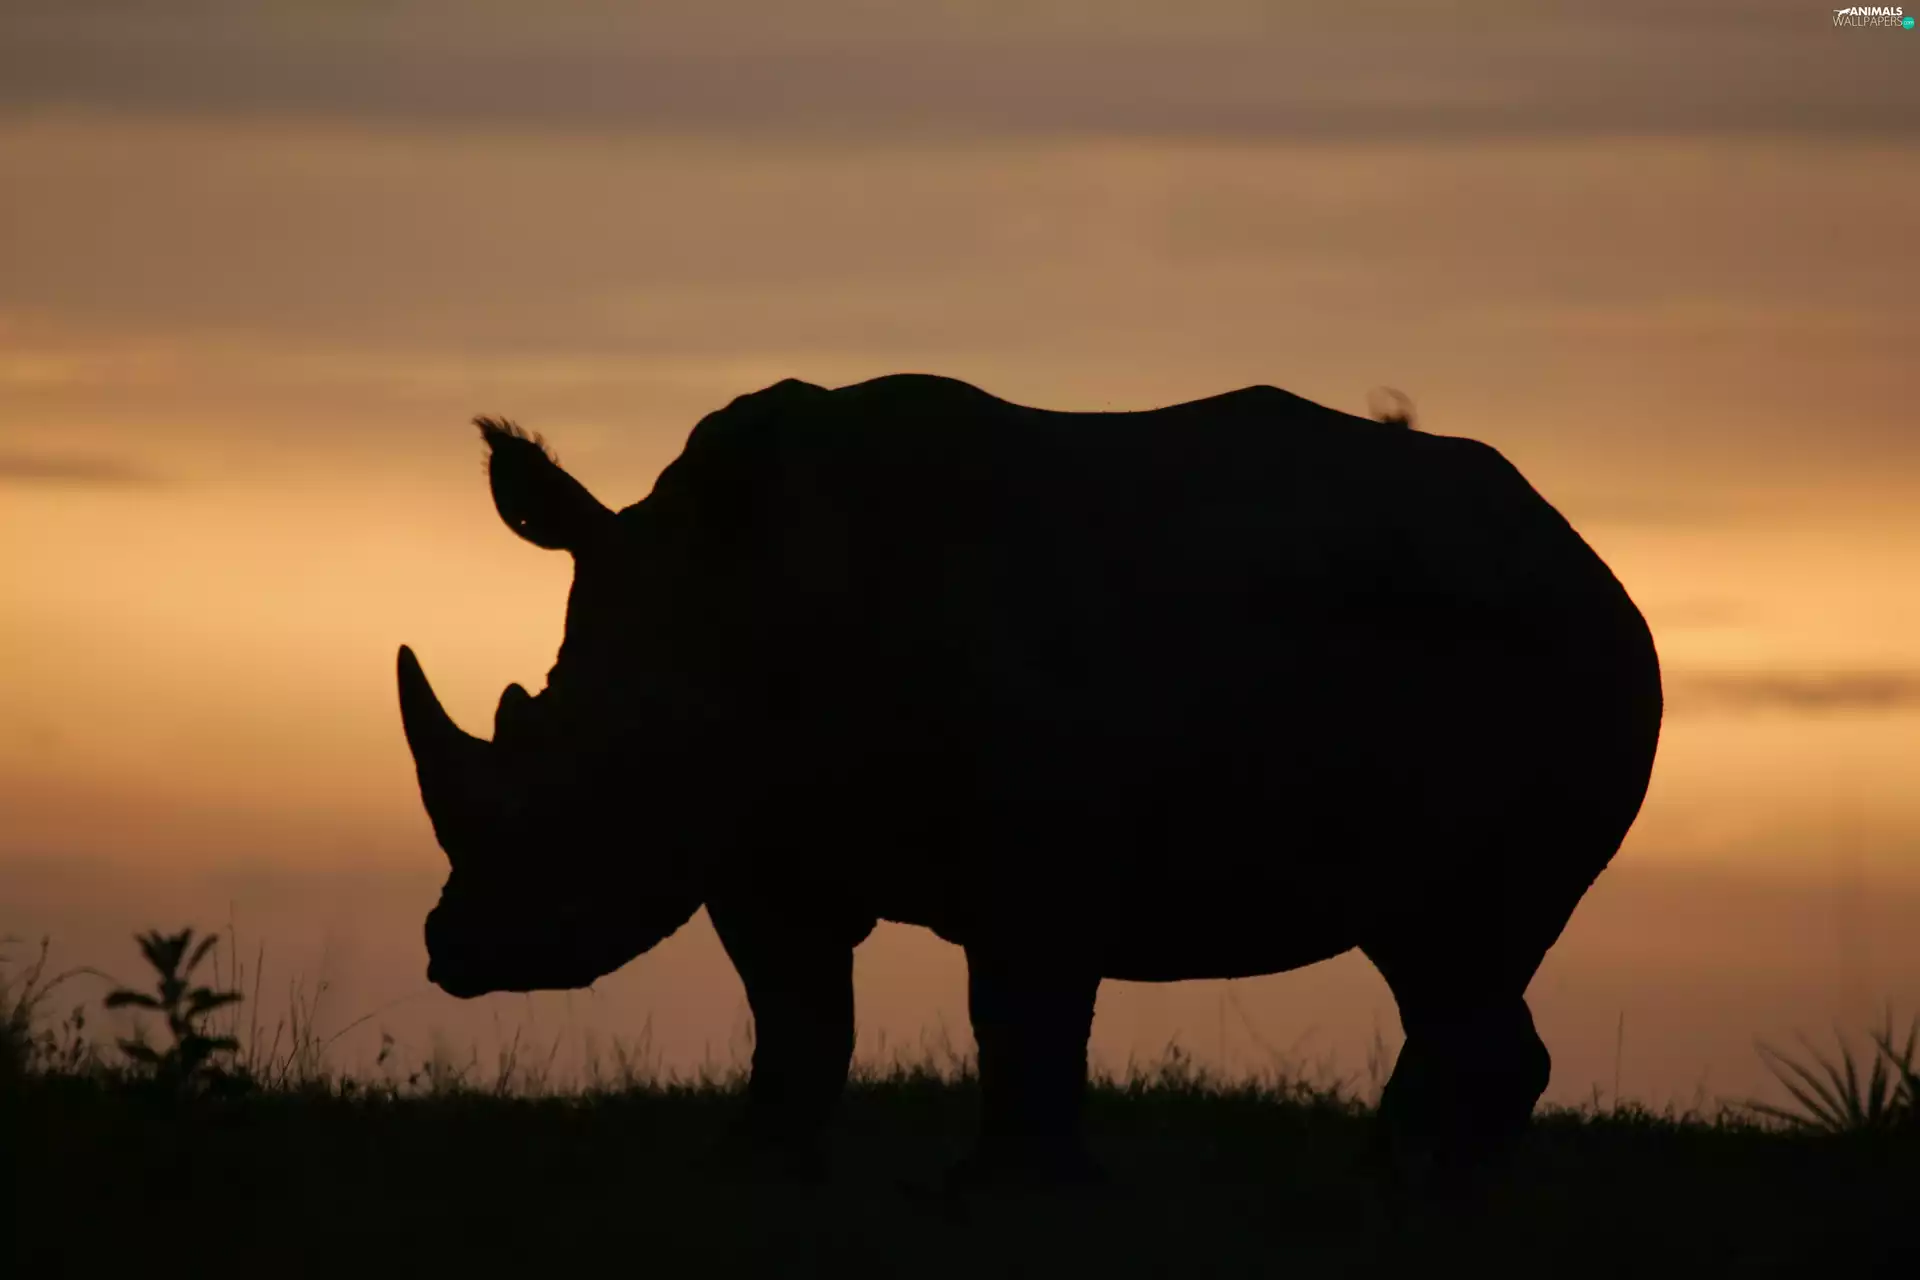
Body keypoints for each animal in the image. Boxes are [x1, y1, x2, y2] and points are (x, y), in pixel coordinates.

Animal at [397, 374, 1662, 1189]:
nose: (462, 952)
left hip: (1562, 657)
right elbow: (796, 1010)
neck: (748, 592)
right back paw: (1396, 1185)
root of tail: (1585, 553)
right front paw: (748, 1170)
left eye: (613, 774)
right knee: (1436, 953)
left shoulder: (1037, 840)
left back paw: (1397, 1190)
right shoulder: (763, 833)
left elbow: (1020, 1006)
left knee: (1465, 940)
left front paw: (1007, 1192)